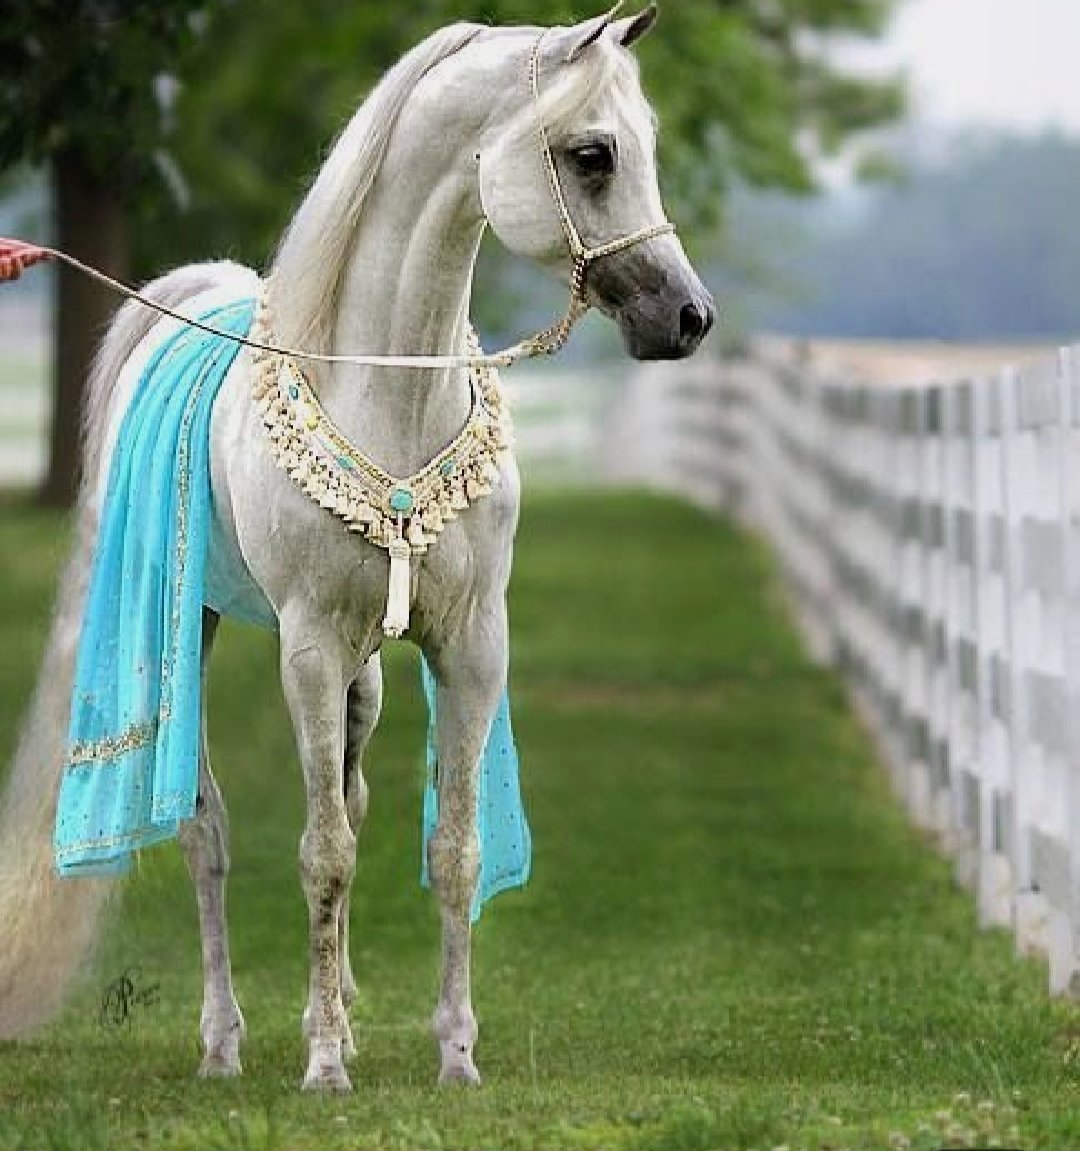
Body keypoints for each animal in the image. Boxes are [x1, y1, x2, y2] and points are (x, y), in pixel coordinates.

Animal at [0, 6, 713, 1092]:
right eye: (592, 154)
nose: (688, 317)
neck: (388, 390)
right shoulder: (308, 648)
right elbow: (321, 852)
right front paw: (326, 1063)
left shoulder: (471, 646)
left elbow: (452, 845)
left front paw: (453, 1053)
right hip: (193, 631)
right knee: (205, 828)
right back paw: (226, 1041)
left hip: (366, 677)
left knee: (347, 797)